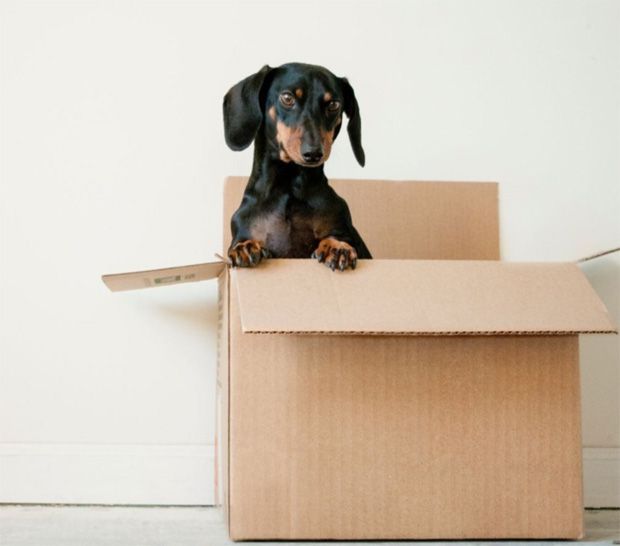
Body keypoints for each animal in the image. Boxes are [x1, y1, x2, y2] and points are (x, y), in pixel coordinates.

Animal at [223, 61, 370, 270]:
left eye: (333, 104)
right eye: (287, 98)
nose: (313, 153)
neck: (289, 186)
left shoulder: (345, 229)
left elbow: (337, 237)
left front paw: (337, 247)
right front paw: (246, 246)